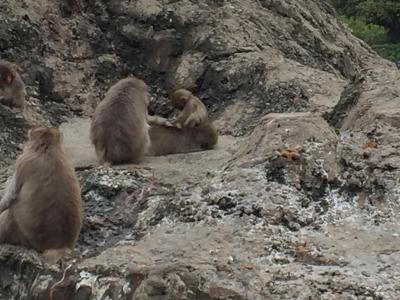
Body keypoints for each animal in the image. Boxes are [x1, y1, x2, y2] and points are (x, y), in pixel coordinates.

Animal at [0, 127, 83, 264]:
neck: (48, 148)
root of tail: (58, 245)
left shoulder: (22, 161)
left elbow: (10, 197)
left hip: (22, 234)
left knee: (11, 211)